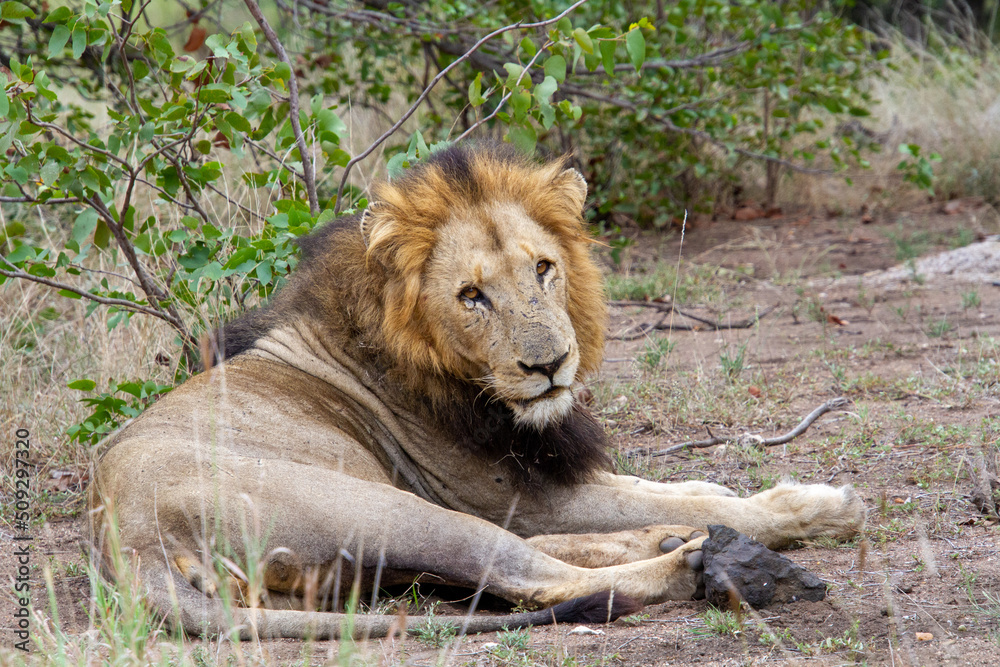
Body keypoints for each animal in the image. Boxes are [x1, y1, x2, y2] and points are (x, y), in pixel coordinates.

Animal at [89, 145, 864, 640]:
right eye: (472, 296)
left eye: (544, 269)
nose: (549, 364)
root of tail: (130, 543)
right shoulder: (514, 493)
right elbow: (686, 498)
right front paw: (819, 508)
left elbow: (673, 487)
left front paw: (717, 496)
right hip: (391, 508)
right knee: (538, 575)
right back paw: (714, 565)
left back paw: (679, 541)